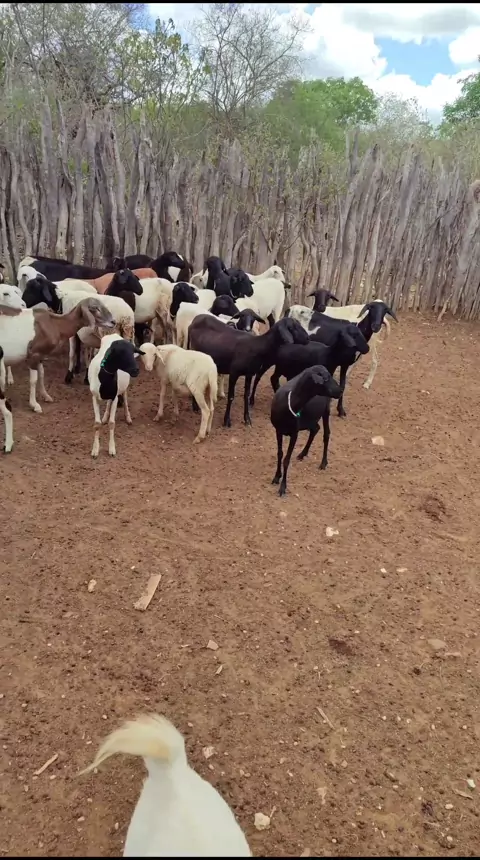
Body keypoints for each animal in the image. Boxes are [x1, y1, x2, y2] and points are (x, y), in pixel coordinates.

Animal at [270, 365, 343, 497]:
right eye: (325, 378)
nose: (340, 391)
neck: (289, 404)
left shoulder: (294, 433)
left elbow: (286, 459)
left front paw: (283, 487)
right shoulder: (278, 430)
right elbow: (280, 454)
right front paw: (277, 477)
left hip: (325, 411)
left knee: (326, 434)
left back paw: (323, 463)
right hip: (311, 418)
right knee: (316, 429)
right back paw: (302, 454)